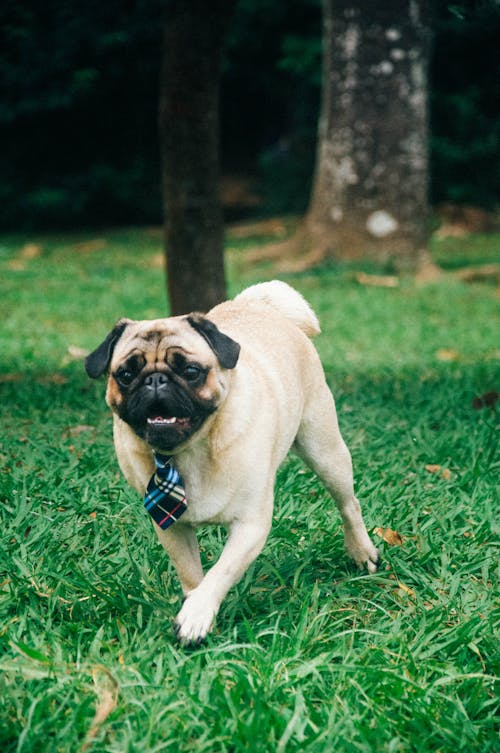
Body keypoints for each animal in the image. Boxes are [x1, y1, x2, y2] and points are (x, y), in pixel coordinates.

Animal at [86, 280, 376, 644]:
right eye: (125, 374)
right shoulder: (171, 527)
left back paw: (363, 552)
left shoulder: (251, 524)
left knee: (349, 505)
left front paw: (197, 614)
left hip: (324, 450)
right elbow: (194, 577)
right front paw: (196, 611)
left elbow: (220, 572)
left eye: (191, 371)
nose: (155, 380)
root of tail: (262, 306)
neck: (188, 452)